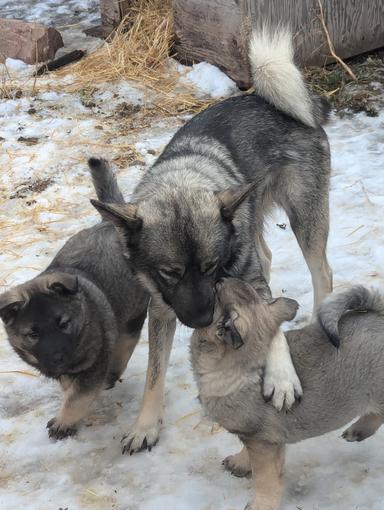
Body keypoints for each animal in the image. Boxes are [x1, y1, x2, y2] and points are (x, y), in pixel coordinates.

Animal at [0, 158, 148, 438]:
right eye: (32, 334)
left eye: (63, 324)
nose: (58, 358)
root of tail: (111, 224)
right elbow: (71, 390)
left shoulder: (93, 366)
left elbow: (78, 397)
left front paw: (63, 422)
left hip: (133, 312)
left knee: (126, 341)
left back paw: (114, 370)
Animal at [91, 27, 332, 454]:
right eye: (169, 273)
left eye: (210, 266)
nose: (202, 320)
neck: (186, 180)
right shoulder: (162, 307)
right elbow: (154, 372)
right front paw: (145, 424)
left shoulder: (247, 277)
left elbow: (269, 321)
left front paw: (281, 378)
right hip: (254, 217)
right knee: (266, 254)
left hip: (306, 221)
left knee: (322, 273)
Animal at [192, 278, 384, 510]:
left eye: (215, 292)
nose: (219, 278)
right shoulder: (259, 439)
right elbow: (251, 454)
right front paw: (240, 463)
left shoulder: (261, 443)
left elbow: (265, 477)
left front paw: (261, 504)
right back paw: (359, 430)